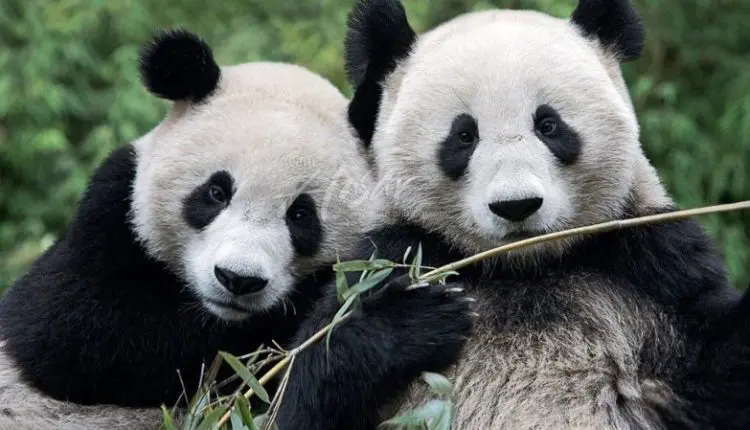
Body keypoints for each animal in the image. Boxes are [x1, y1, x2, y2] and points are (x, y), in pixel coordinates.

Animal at [274, 0, 750, 429]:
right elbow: (306, 393)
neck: (523, 266)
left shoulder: (648, 261)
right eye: (464, 136)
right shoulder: (393, 255)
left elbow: (717, 369)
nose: (516, 205)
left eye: (549, 125)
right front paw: (419, 317)